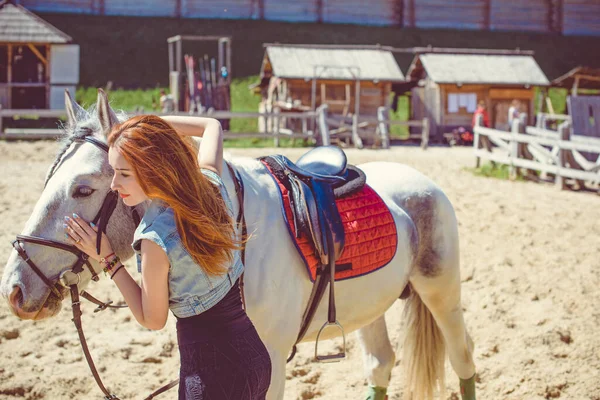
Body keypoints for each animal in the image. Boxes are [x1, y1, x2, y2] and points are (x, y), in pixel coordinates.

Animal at [1, 91, 478, 400]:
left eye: (83, 189)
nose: (15, 290)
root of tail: (421, 181)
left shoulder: (272, 361)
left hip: (442, 292)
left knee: (462, 358)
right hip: (370, 307)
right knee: (381, 364)